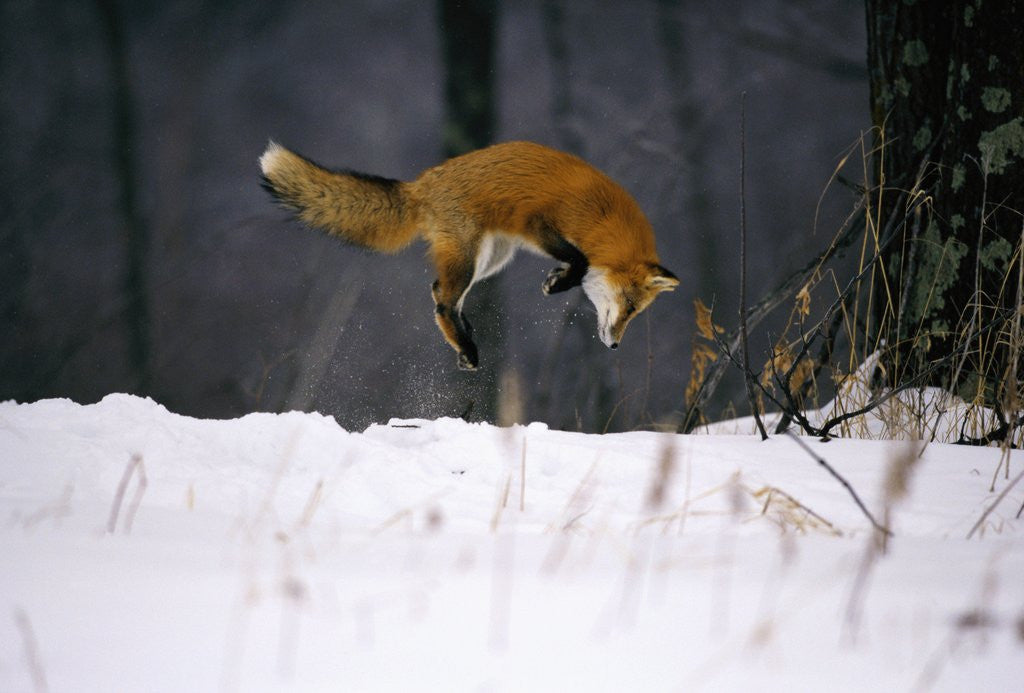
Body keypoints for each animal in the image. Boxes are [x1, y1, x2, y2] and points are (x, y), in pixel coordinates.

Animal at [260, 139, 675, 368]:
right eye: (630, 307)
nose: (615, 345)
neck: (602, 222)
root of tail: (421, 184)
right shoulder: (538, 223)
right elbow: (581, 260)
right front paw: (558, 283)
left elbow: (577, 262)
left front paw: (558, 279)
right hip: (471, 257)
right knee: (443, 301)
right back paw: (466, 346)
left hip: (491, 259)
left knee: (437, 291)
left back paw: (464, 341)